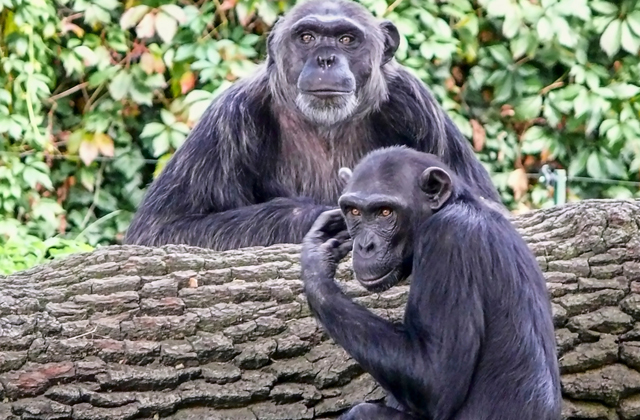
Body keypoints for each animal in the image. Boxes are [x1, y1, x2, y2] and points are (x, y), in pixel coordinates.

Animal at [124, 0, 500, 251]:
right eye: (306, 37)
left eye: (347, 39)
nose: (325, 59)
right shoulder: (228, 118)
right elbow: (163, 228)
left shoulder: (419, 107)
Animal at [300, 147, 560, 420]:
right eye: (354, 212)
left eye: (385, 212)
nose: (365, 245)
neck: (456, 205)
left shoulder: (448, 241)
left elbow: (434, 378)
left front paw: (315, 266)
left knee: (364, 412)